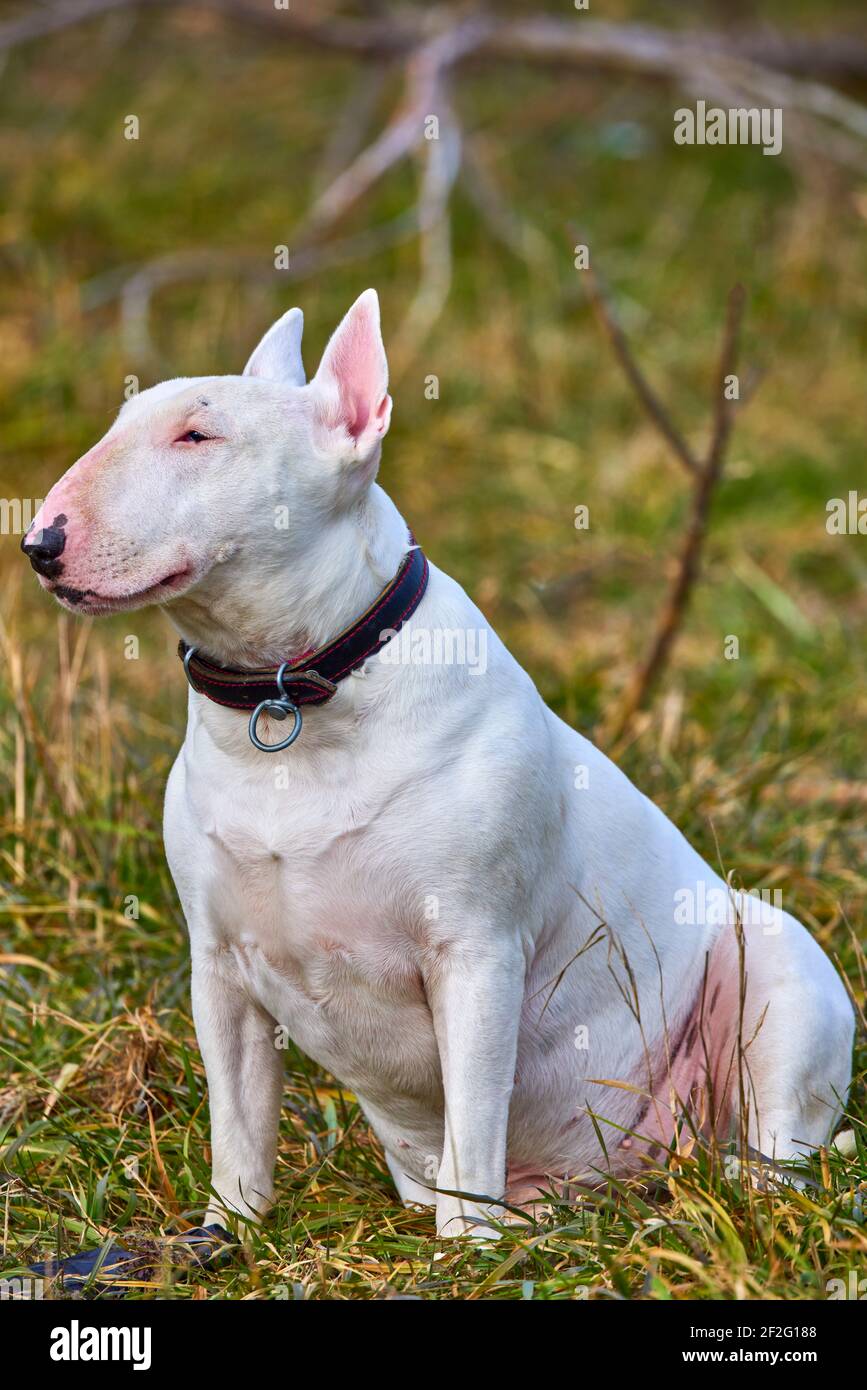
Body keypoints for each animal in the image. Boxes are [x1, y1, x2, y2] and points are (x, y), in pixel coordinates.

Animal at [25, 287, 855, 1234]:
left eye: (198, 436)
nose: (39, 543)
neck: (288, 701)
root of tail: (629, 1174)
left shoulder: (476, 952)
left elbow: (471, 1122)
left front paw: (463, 1246)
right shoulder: (220, 969)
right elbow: (238, 1125)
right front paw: (228, 1233)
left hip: (779, 972)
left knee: (775, 1161)